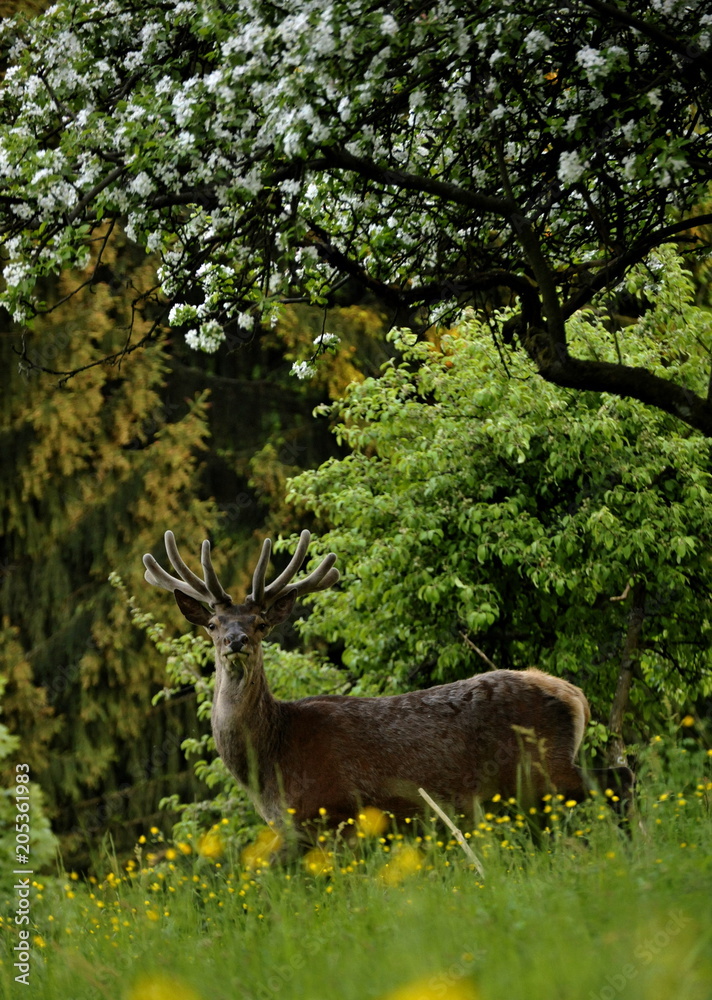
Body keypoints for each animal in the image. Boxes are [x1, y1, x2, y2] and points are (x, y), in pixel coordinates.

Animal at [143, 530, 633, 831]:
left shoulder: (331, 810)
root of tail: (575, 696)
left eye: (261, 622)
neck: (270, 764)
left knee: (618, 780)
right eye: (212, 624)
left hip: (542, 768)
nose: (237, 640)